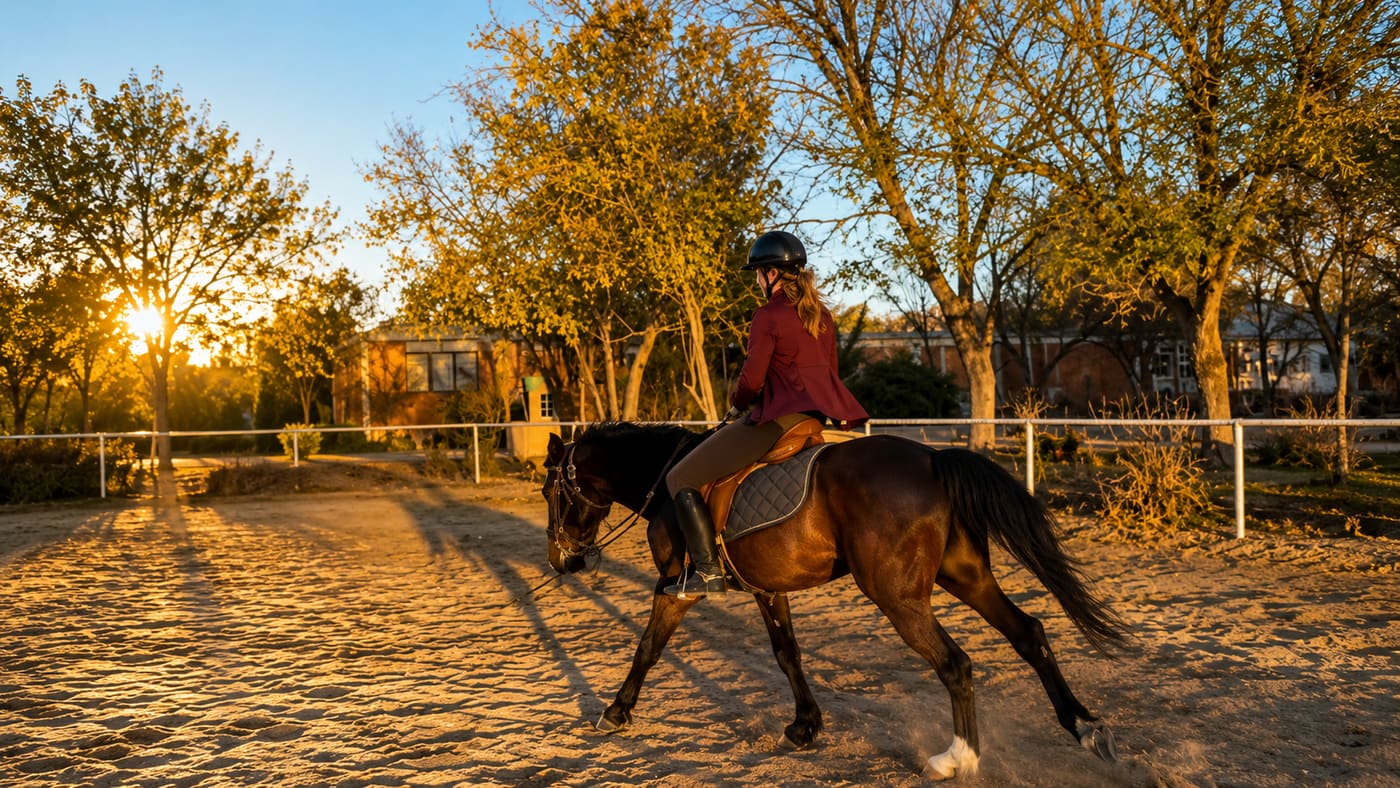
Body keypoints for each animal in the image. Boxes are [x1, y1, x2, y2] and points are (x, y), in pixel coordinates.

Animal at [542, 422, 1128, 779]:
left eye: (551, 492)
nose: (560, 561)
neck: (664, 483)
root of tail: (932, 459)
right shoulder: (768, 589)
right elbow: (787, 655)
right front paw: (805, 725)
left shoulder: (675, 588)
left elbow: (647, 649)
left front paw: (615, 712)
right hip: (965, 576)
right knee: (1029, 633)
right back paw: (1085, 728)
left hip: (898, 596)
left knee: (956, 664)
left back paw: (955, 759)